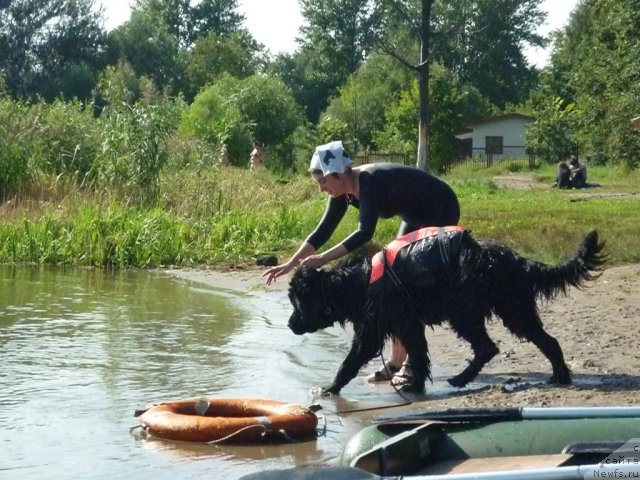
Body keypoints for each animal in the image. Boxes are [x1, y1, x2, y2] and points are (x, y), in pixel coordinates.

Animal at [288, 228, 604, 394]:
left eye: (296, 301)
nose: (290, 324)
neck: (360, 282)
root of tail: (518, 260)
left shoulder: (371, 332)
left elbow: (350, 362)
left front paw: (330, 389)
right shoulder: (408, 326)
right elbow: (418, 356)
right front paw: (415, 385)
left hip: (473, 312)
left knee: (493, 346)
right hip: (508, 310)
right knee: (533, 342)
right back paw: (559, 376)